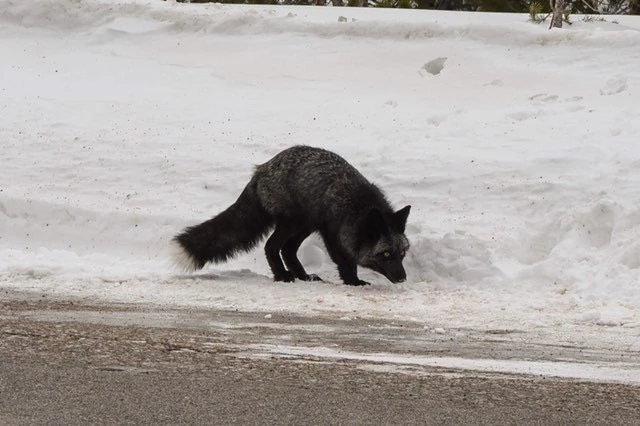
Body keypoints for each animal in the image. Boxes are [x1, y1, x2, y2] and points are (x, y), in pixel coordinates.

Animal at [172, 145, 411, 286]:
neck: (360, 203)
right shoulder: (332, 234)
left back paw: (303, 276)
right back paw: (282, 276)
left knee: (287, 250)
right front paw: (353, 281)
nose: (402, 278)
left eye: (402, 253)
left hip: (305, 225)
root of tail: (260, 171)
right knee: (271, 246)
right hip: (293, 223)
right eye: (385, 254)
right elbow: (345, 261)